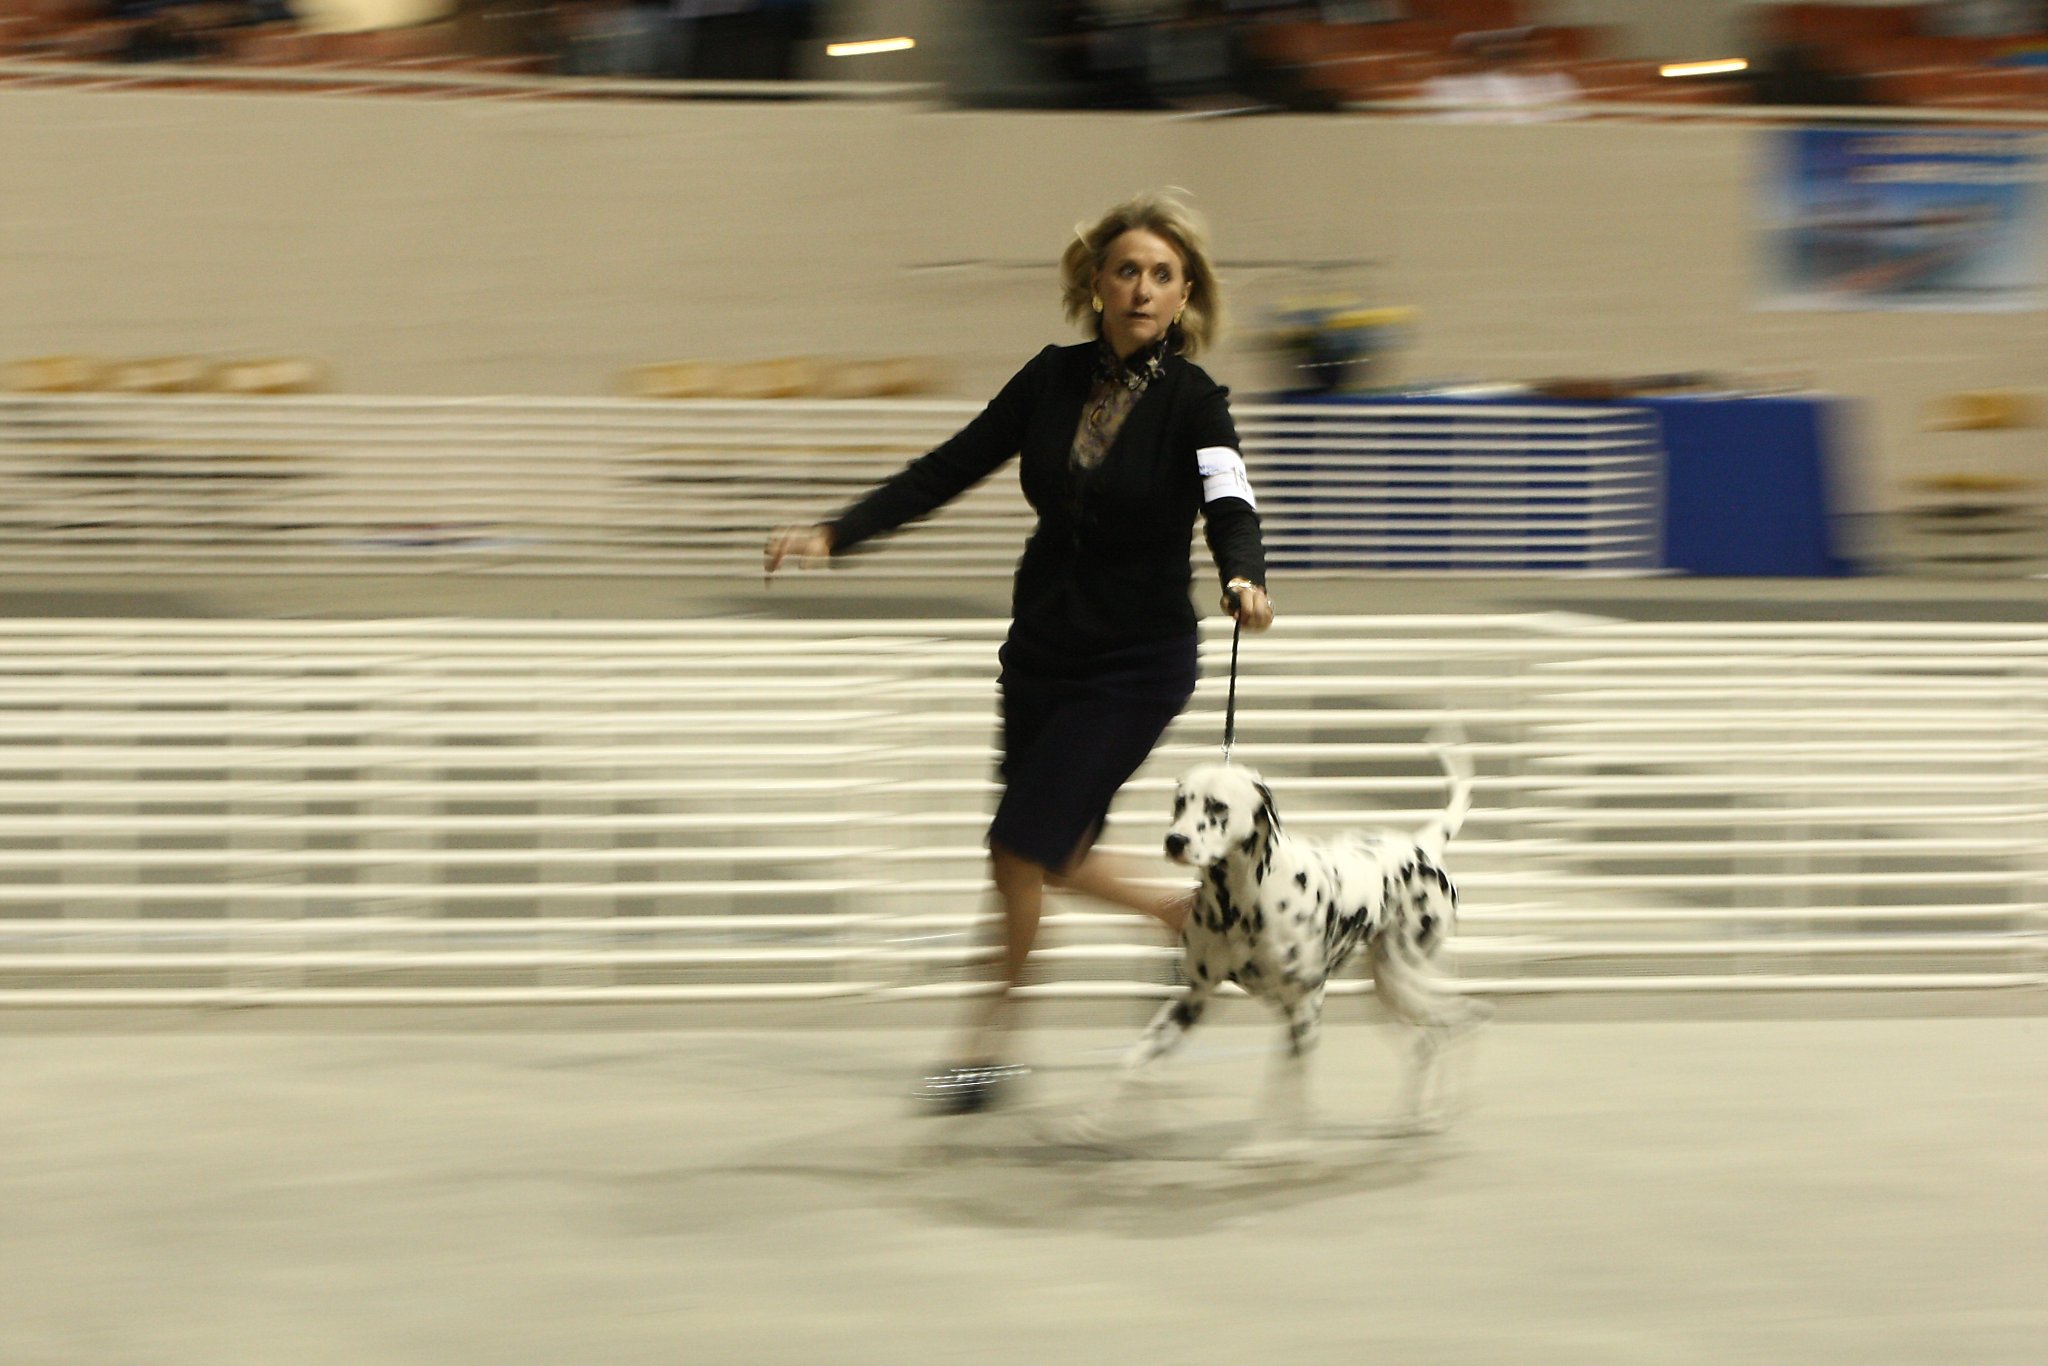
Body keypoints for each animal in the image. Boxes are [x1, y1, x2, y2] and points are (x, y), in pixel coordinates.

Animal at [1089, 733, 1490, 1163]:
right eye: (1181, 802)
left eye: (1217, 806)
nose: (1175, 841)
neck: (1240, 902)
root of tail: (1422, 847)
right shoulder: (1194, 1000)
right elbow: (1134, 1060)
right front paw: (1096, 1120)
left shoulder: (1303, 1010)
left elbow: (1285, 1089)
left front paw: (1276, 1145)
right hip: (1386, 994)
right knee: (1427, 1042)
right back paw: (1411, 1119)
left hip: (1404, 979)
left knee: (1464, 1020)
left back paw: (1444, 1110)